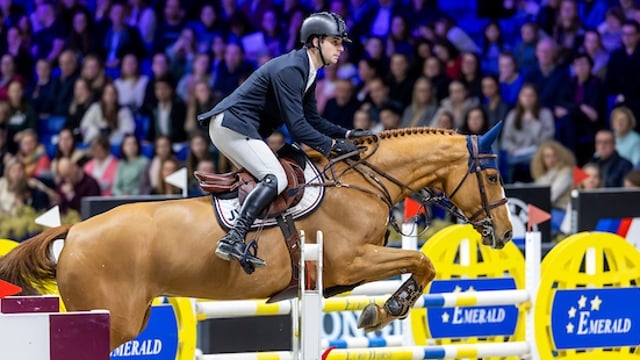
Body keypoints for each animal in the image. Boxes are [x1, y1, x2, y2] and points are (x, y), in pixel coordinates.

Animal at [0, 124, 510, 348]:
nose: (504, 234)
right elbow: (422, 262)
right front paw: (384, 310)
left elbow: (419, 263)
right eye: (493, 178)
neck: (365, 180)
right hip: (110, 319)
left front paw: (383, 308)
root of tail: (76, 230)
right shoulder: (350, 260)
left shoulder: (343, 271)